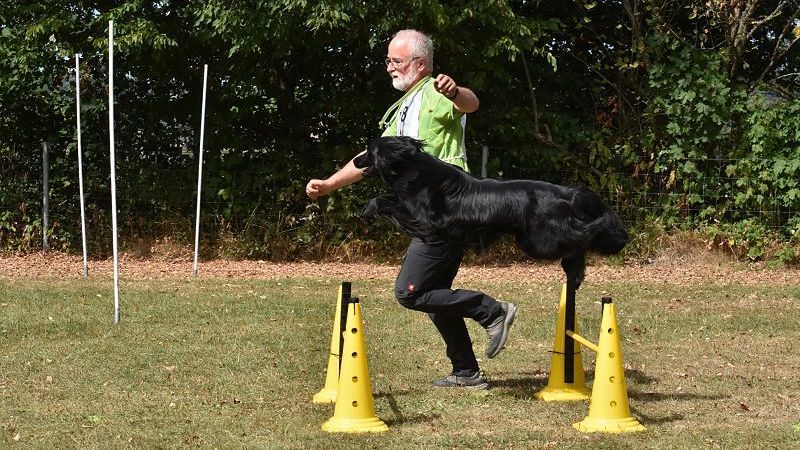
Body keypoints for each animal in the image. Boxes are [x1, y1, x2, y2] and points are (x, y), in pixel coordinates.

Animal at [354, 135, 628, 288]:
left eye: (369, 151)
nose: (355, 161)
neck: (410, 166)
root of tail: (566, 191)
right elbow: (389, 200)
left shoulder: (426, 220)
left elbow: (384, 201)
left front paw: (367, 209)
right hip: (530, 240)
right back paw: (576, 273)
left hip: (540, 240)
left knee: (584, 234)